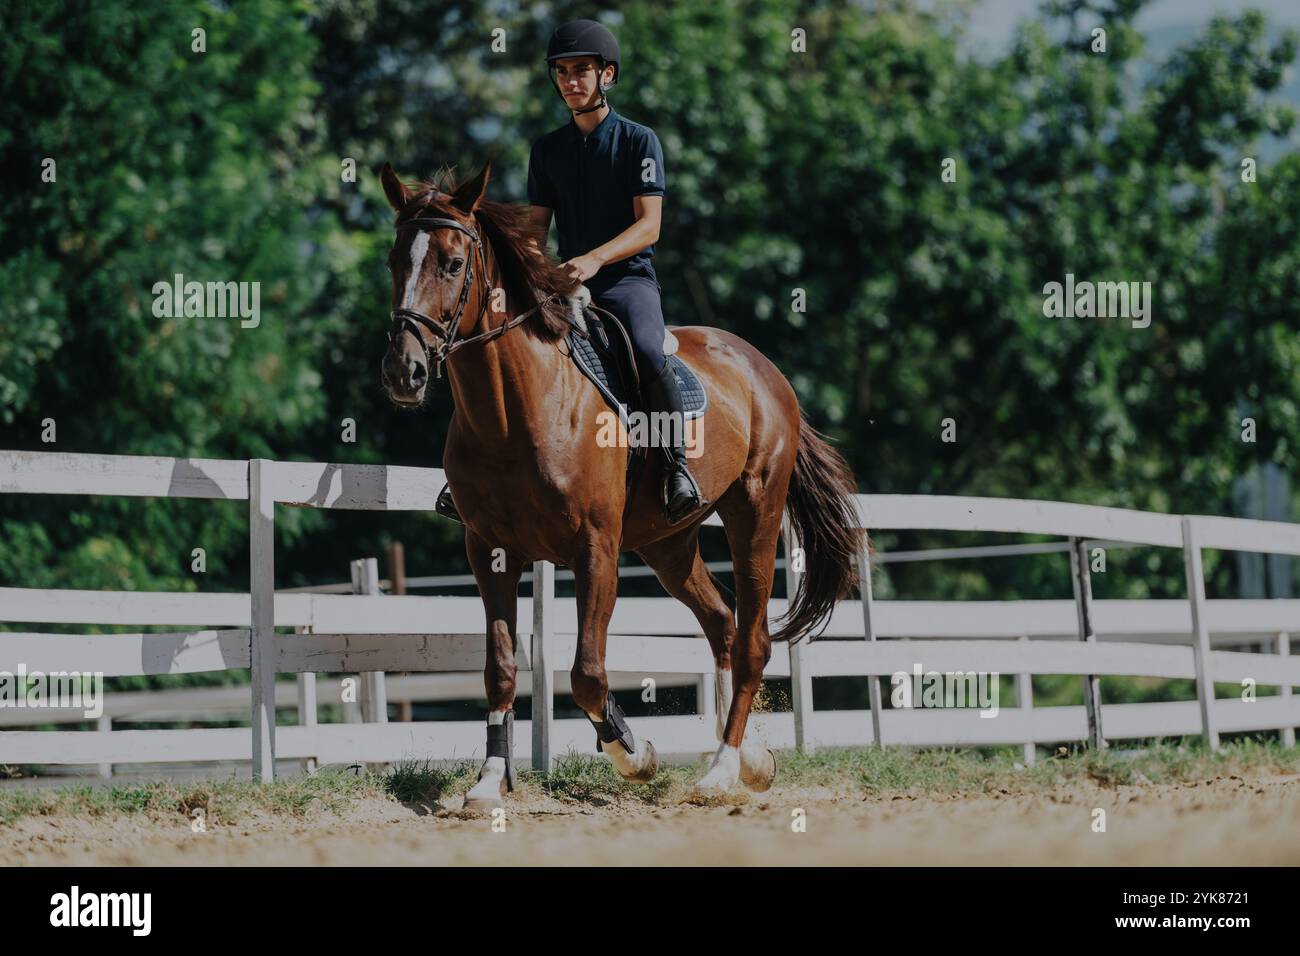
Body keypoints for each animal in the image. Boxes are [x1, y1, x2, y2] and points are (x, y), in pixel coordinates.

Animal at [378, 160, 862, 807]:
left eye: (453, 264)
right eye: (394, 261)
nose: (402, 372)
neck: (514, 411)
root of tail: (764, 368)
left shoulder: (595, 548)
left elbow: (587, 674)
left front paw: (636, 754)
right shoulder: (489, 550)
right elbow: (500, 668)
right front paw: (486, 784)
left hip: (754, 514)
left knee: (753, 640)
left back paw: (722, 771)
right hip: (667, 545)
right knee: (722, 624)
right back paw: (752, 760)